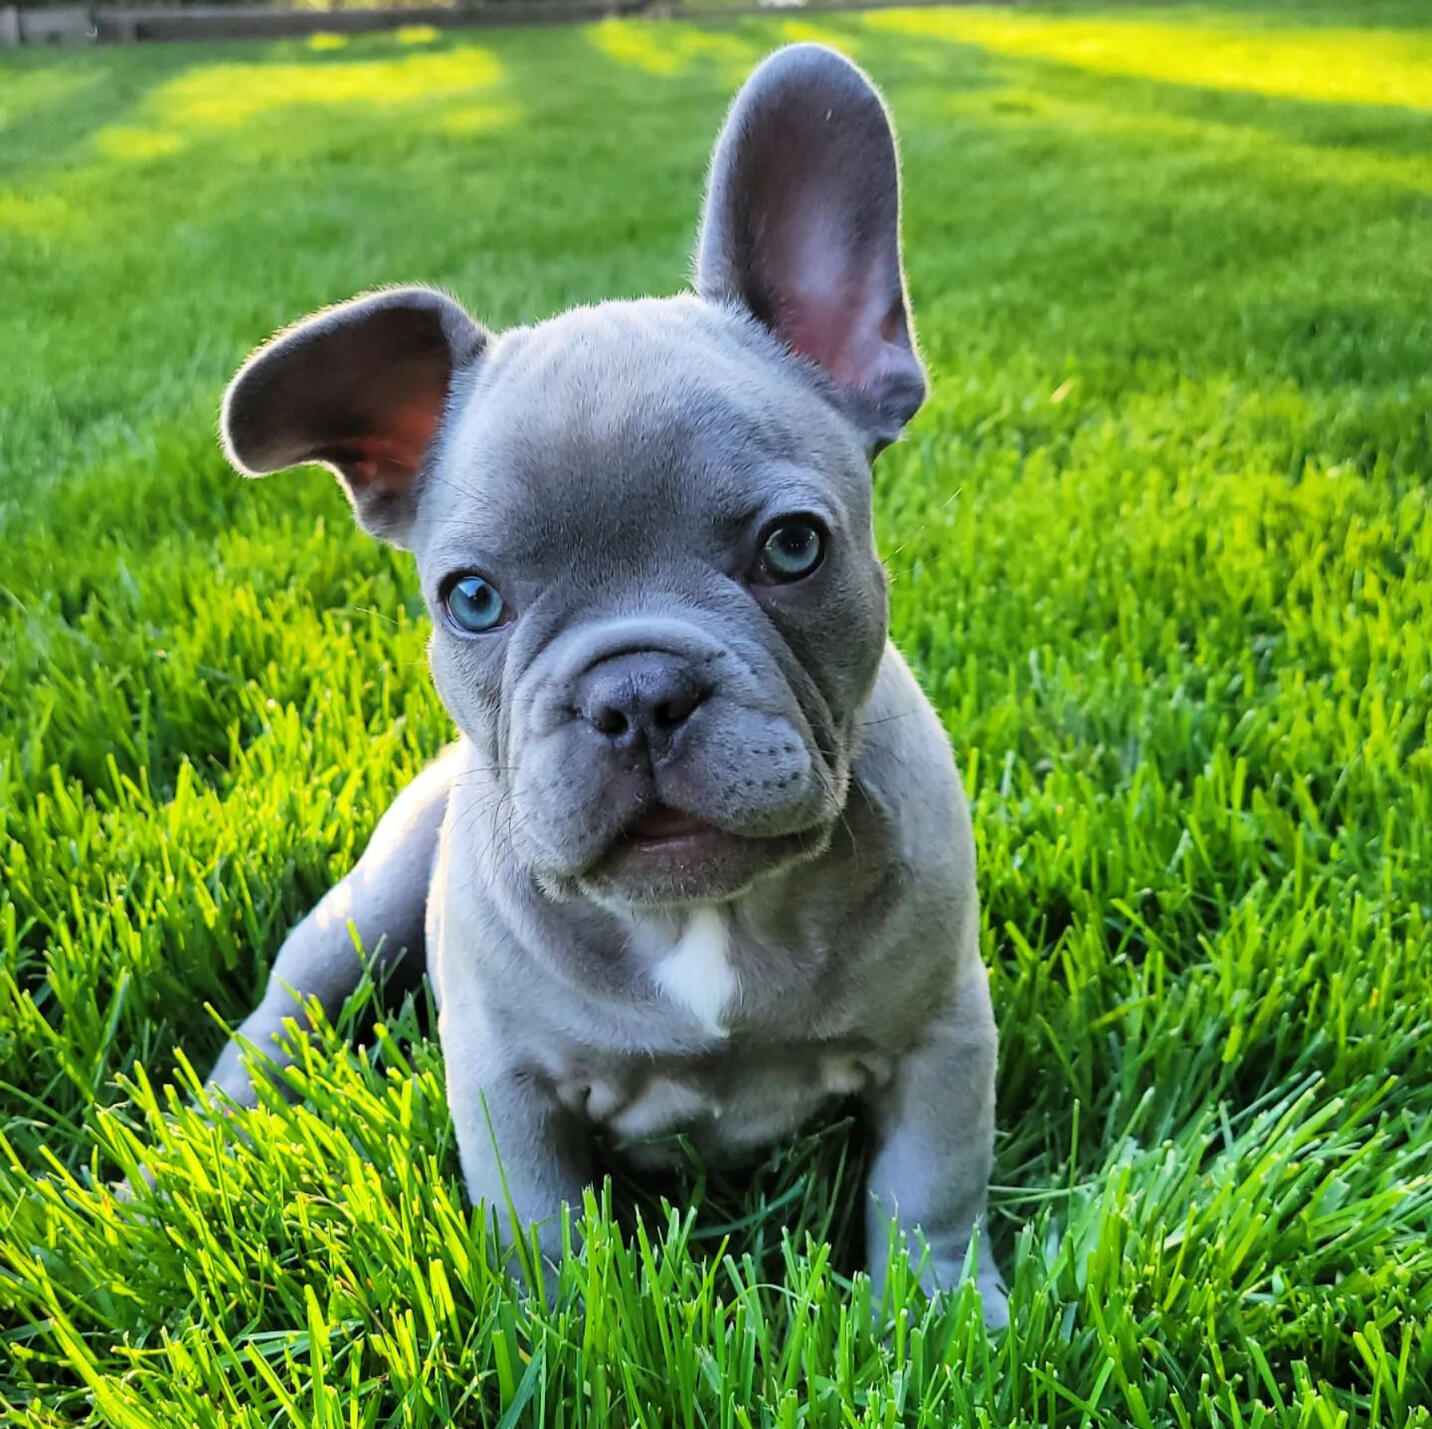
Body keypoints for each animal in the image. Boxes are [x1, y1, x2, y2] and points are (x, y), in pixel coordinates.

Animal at [209, 41, 1008, 1328]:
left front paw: (940, 1327)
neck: (709, 915)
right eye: (471, 599)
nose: (637, 693)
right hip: (361, 915)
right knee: (285, 1008)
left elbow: (927, 1190)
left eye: (794, 546)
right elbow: (544, 1231)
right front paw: (568, 1334)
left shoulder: (941, 1033)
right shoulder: (507, 1085)